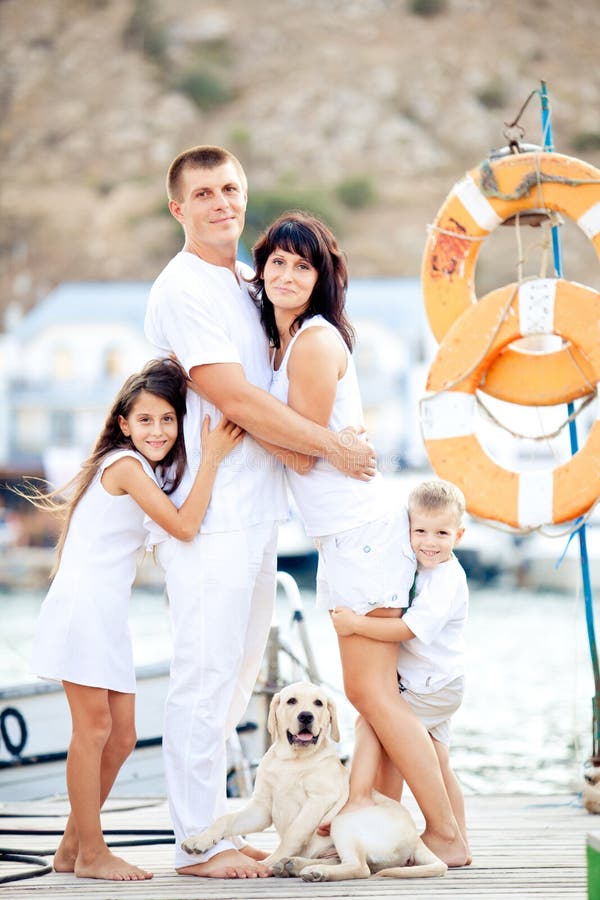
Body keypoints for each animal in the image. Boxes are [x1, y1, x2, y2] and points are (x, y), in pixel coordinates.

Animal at [180, 684, 448, 880]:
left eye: (318, 703)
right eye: (291, 701)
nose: (306, 716)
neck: (291, 760)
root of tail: (416, 838)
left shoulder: (318, 801)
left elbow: (293, 834)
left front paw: (268, 862)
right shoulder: (261, 808)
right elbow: (224, 819)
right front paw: (199, 840)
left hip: (343, 820)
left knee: (360, 867)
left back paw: (312, 870)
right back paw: (294, 865)